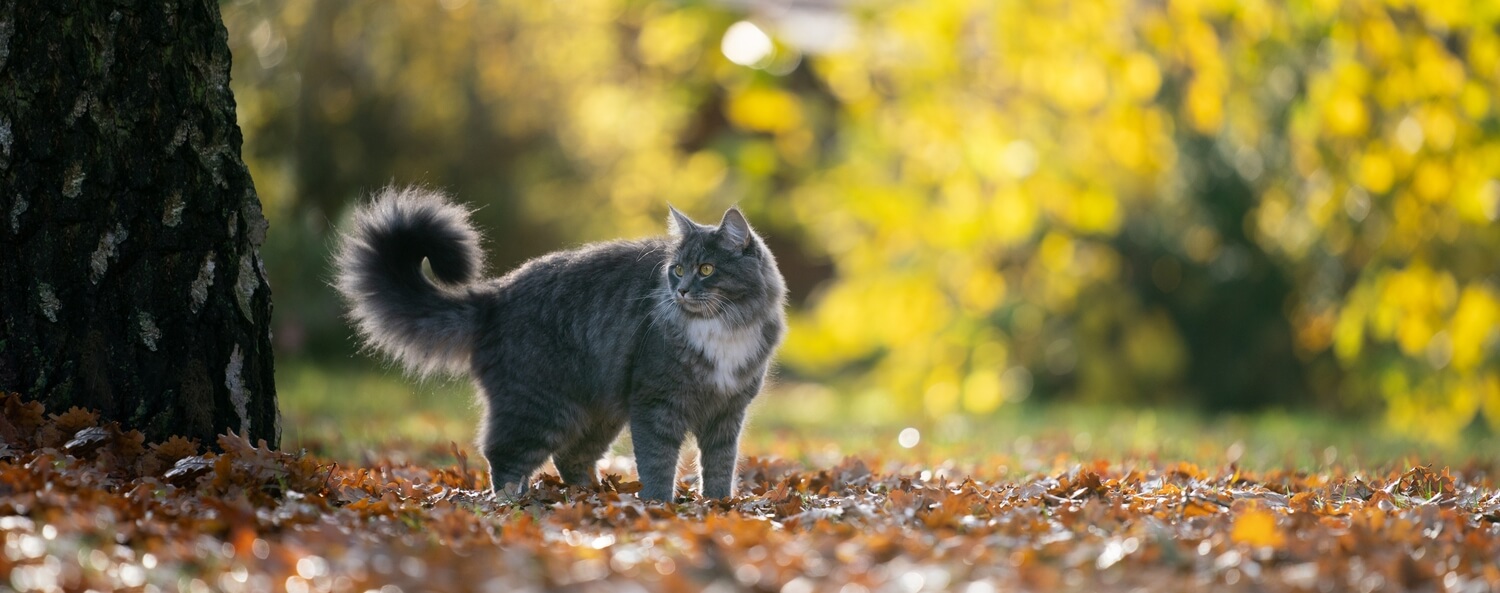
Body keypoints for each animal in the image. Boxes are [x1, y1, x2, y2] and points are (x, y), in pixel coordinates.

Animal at [336, 188, 792, 504]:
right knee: (502, 455)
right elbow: (659, 461)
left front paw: (718, 505)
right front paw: (660, 506)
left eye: (707, 269)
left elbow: (718, 465)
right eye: (677, 269)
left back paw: (595, 495)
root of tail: (495, 295)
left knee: (569, 458)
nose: (679, 290)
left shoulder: (727, 411)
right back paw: (511, 503)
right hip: (540, 407)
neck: (722, 328)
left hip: (595, 413)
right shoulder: (656, 404)